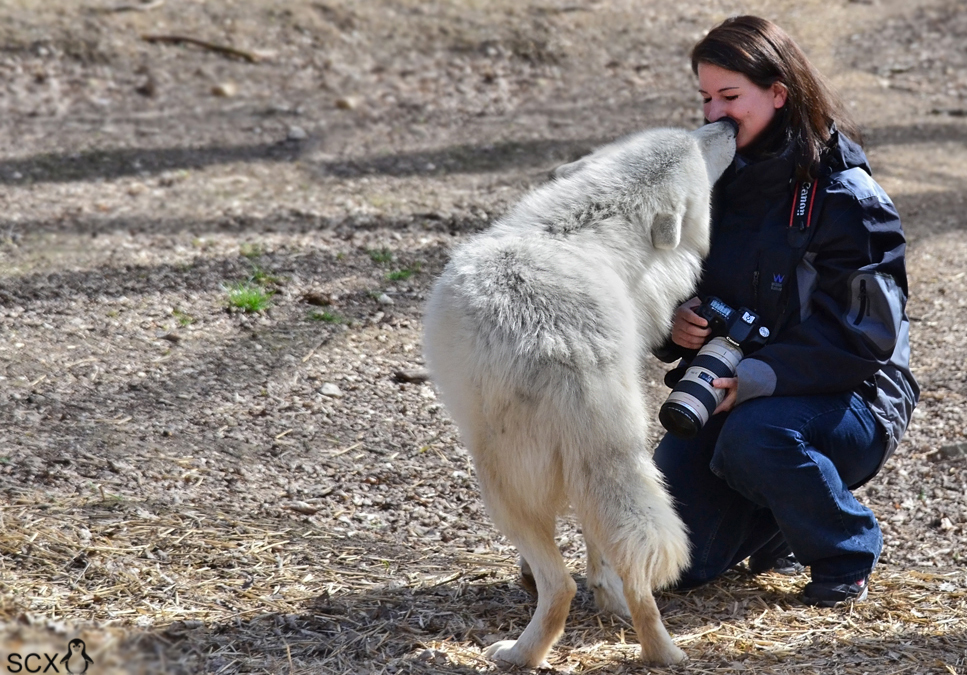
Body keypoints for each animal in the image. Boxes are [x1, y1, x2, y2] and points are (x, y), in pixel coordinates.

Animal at [422, 120, 732, 664]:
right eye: (699, 136)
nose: (730, 124)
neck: (582, 223)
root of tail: (564, 344)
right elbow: (599, 546)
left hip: (499, 486)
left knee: (560, 585)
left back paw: (516, 654)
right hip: (612, 459)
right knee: (629, 568)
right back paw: (660, 650)